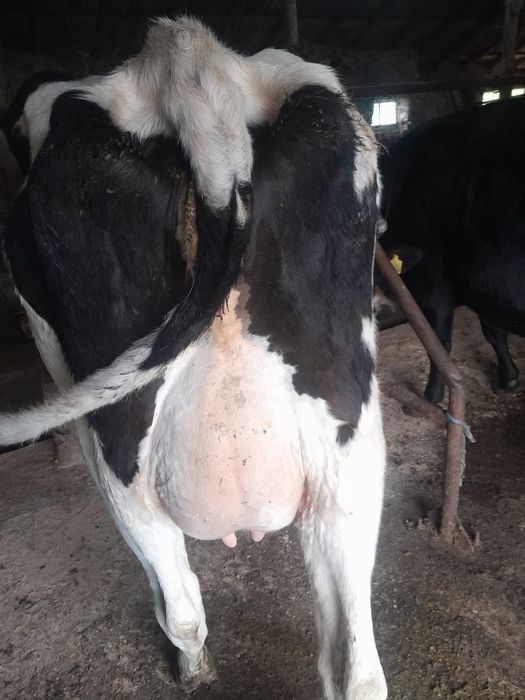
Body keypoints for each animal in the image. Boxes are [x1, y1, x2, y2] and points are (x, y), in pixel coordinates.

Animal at [0, 17, 387, 699]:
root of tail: (187, 64)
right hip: (350, 444)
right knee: (359, 666)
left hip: (119, 449)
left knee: (179, 600)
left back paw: (189, 665)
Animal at [379, 97, 525, 404]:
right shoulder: (484, 280)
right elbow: (493, 330)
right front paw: (508, 377)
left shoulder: (433, 286)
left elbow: (439, 344)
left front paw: (431, 396)